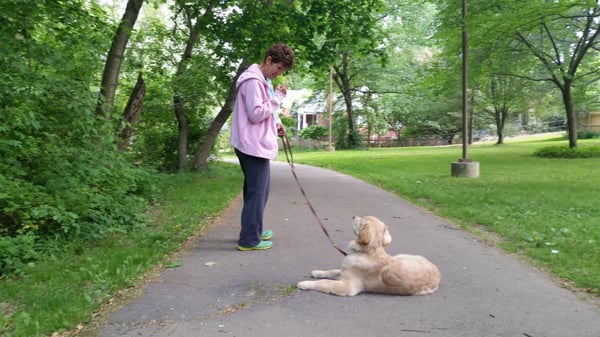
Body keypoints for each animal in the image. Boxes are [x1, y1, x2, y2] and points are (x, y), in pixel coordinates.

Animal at [296, 215, 440, 294]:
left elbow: (324, 282)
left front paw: (305, 284)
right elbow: (333, 271)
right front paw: (318, 272)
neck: (368, 252)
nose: (353, 216)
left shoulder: (348, 286)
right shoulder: (345, 271)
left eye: (361, 221)